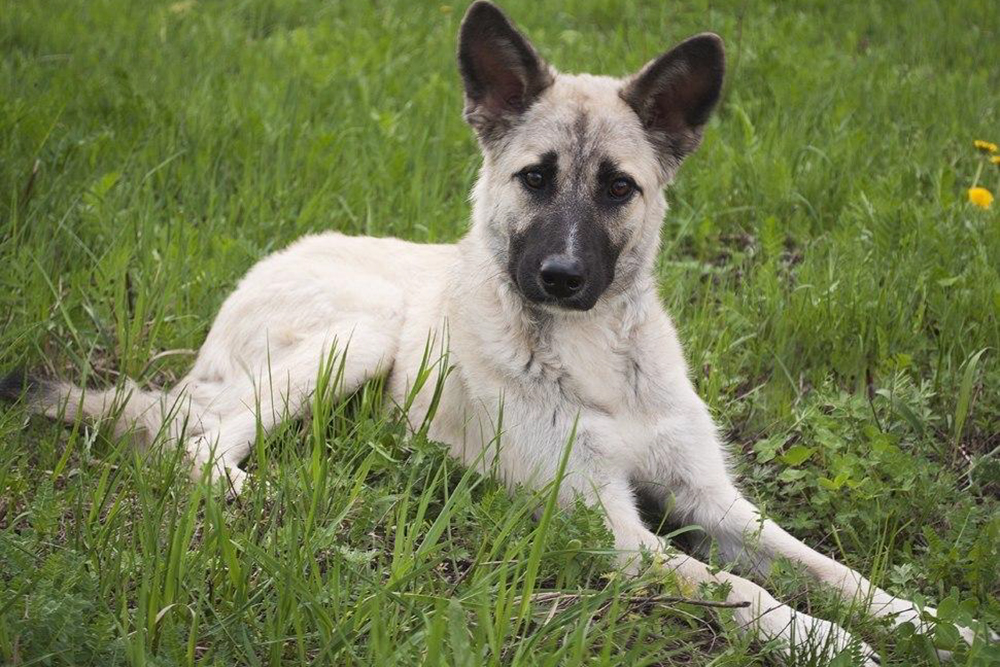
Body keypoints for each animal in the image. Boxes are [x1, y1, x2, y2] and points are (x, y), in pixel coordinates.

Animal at [3, 1, 996, 664]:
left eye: (618, 188)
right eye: (535, 177)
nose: (560, 277)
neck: (598, 362)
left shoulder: (716, 503)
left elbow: (826, 566)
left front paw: (928, 622)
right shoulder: (616, 533)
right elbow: (739, 587)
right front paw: (823, 640)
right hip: (355, 337)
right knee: (196, 437)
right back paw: (258, 493)